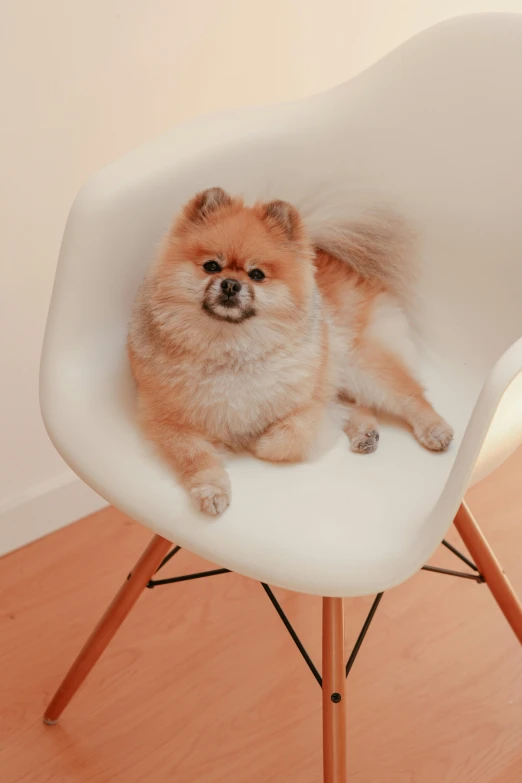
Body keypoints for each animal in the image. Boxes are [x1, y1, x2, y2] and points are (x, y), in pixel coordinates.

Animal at [127, 184, 450, 516]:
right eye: (211, 266)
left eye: (257, 274)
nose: (230, 284)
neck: (231, 345)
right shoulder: (167, 420)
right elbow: (195, 457)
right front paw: (211, 490)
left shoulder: (307, 405)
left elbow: (284, 439)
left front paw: (254, 441)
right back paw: (365, 431)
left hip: (361, 363)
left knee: (409, 395)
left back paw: (434, 429)